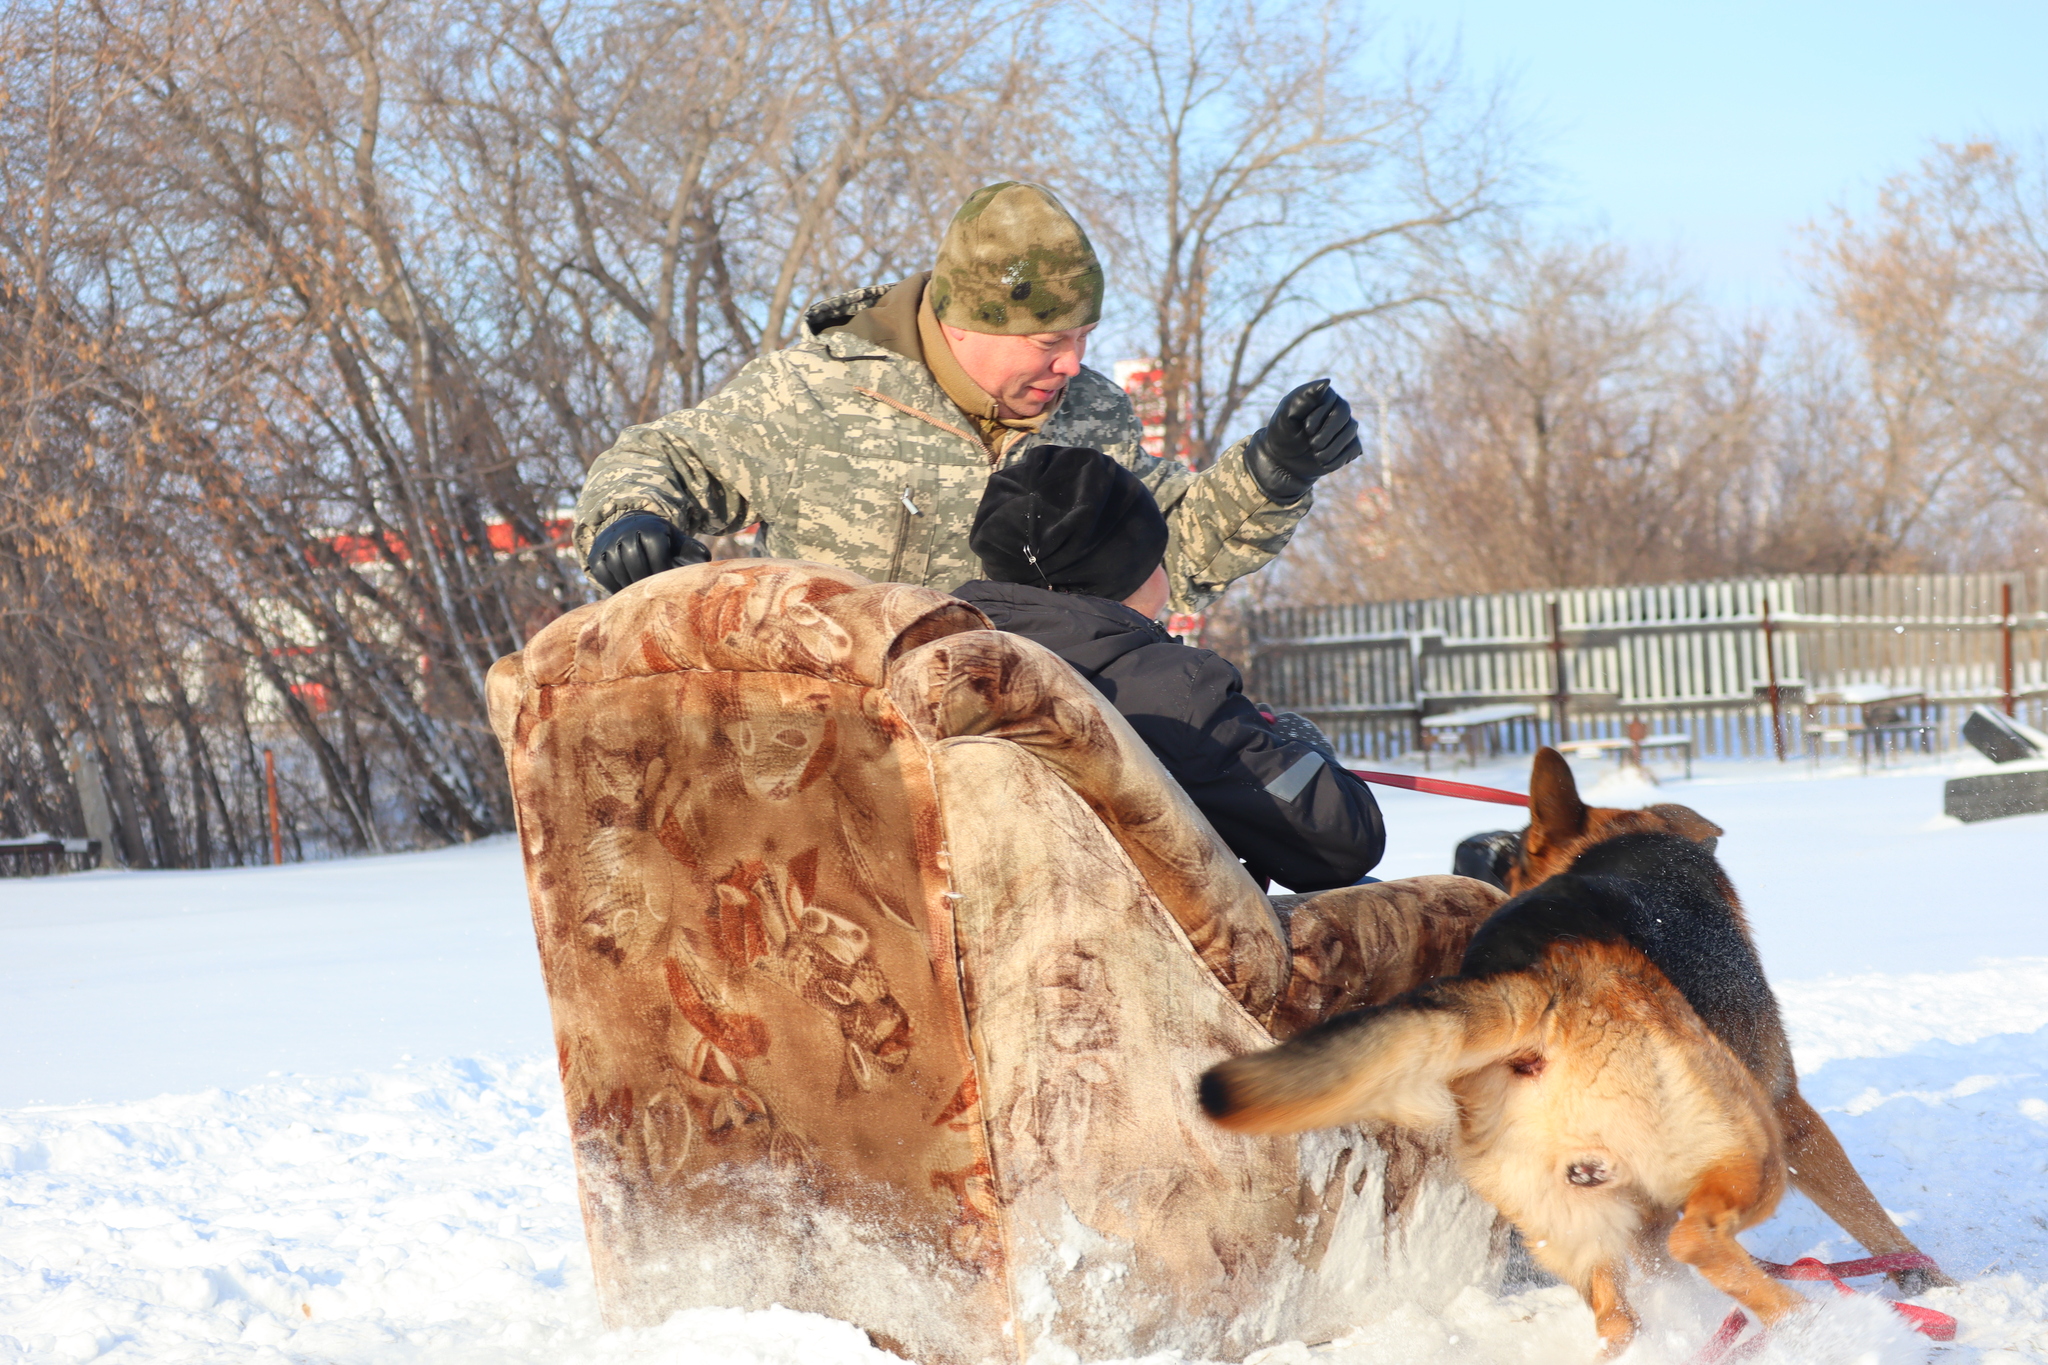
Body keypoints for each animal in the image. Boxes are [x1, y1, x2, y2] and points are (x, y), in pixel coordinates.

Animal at [1204, 753, 1941, 1358]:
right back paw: (1819, 1325)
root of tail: (1535, 984)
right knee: (1698, 1240)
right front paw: (1930, 1279)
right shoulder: (1791, 1113)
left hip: (1572, 1219)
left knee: (1622, 1319)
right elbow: (1870, 1215)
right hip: (1748, 1147)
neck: (1611, 846)